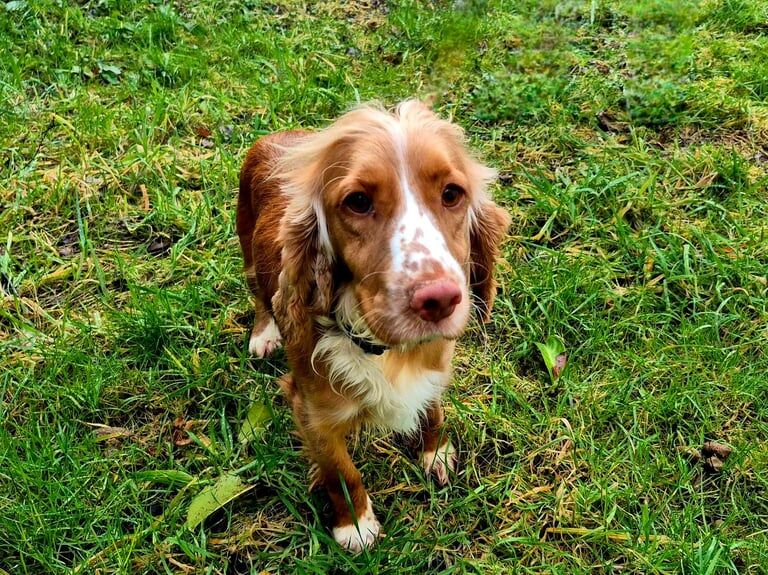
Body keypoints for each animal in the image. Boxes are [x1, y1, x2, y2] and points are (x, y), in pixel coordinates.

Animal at [234, 100, 510, 552]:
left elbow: (432, 411)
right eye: (358, 202)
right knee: (262, 297)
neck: (386, 351)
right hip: (250, 253)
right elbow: (341, 472)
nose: (439, 299)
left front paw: (435, 453)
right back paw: (264, 334)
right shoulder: (312, 412)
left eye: (452, 194)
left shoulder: (435, 370)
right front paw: (356, 527)